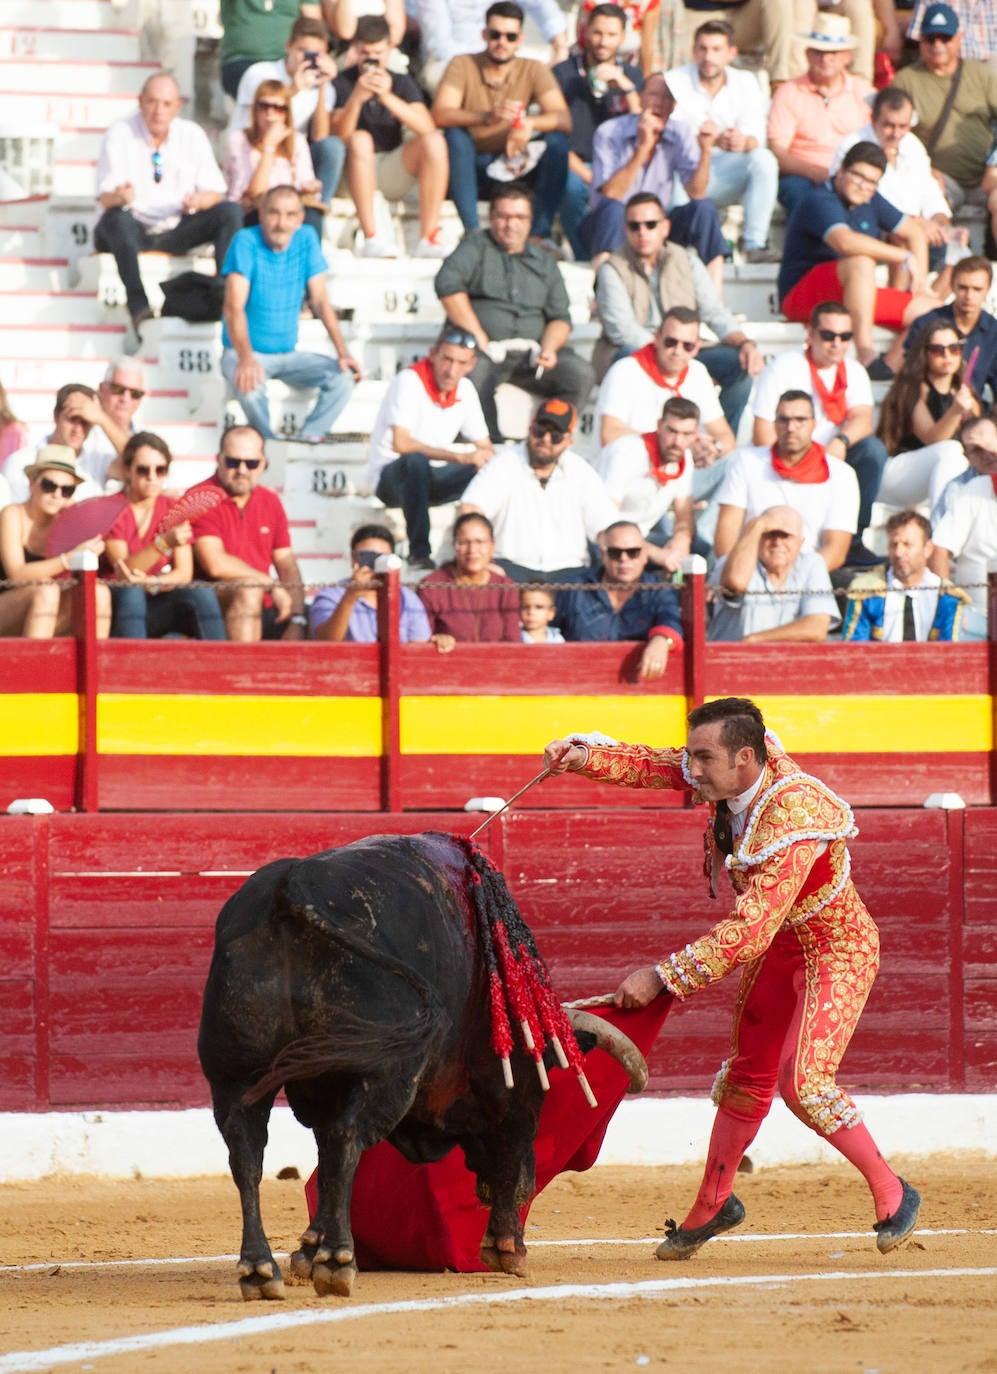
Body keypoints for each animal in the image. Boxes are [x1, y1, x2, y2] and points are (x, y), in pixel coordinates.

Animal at [199, 824, 645, 1297]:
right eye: (543, 1086)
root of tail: (291, 887)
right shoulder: (504, 1094)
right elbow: (509, 1149)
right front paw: (506, 1248)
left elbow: (324, 1160)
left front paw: (307, 1248)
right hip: (385, 1071)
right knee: (345, 1138)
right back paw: (337, 1261)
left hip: (234, 1076)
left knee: (248, 1154)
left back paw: (260, 1269)